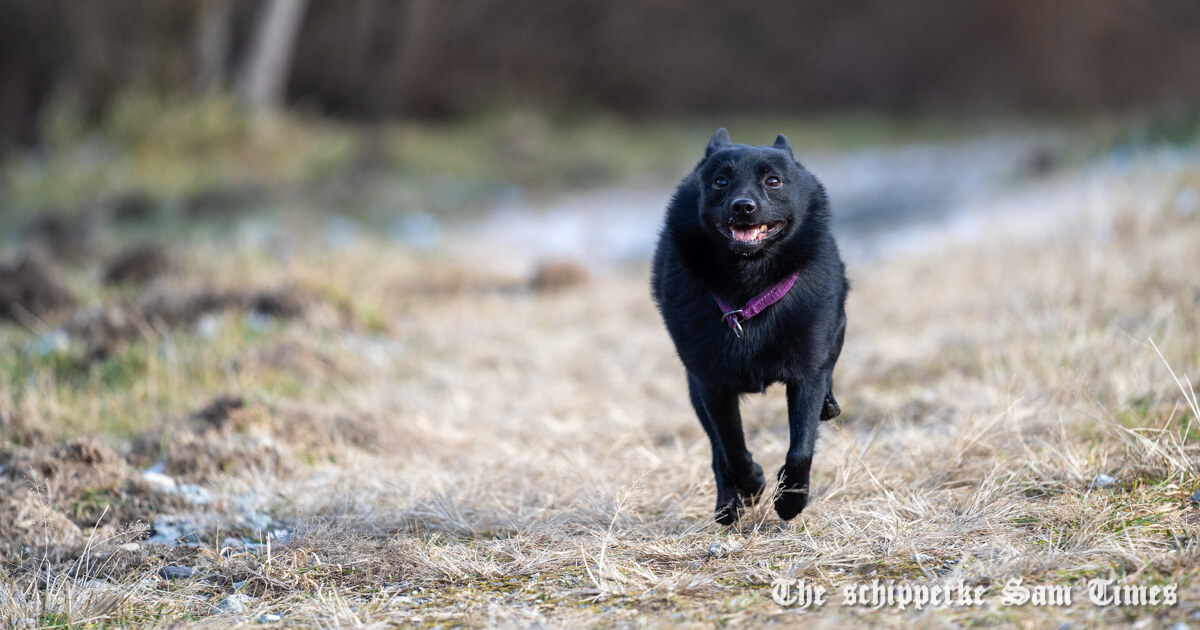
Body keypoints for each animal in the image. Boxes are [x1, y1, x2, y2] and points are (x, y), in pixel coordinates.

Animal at [652, 129, 849, 525]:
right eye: (720, 181)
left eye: (773, 181)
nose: (743, 207)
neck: (749, 288)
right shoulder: (711, 385)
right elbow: (731, 448)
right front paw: (753, 483)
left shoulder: (807, 372)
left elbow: (801, 447)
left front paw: (790, 499)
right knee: (718, 452)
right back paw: (728, 505)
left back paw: (829, 405)